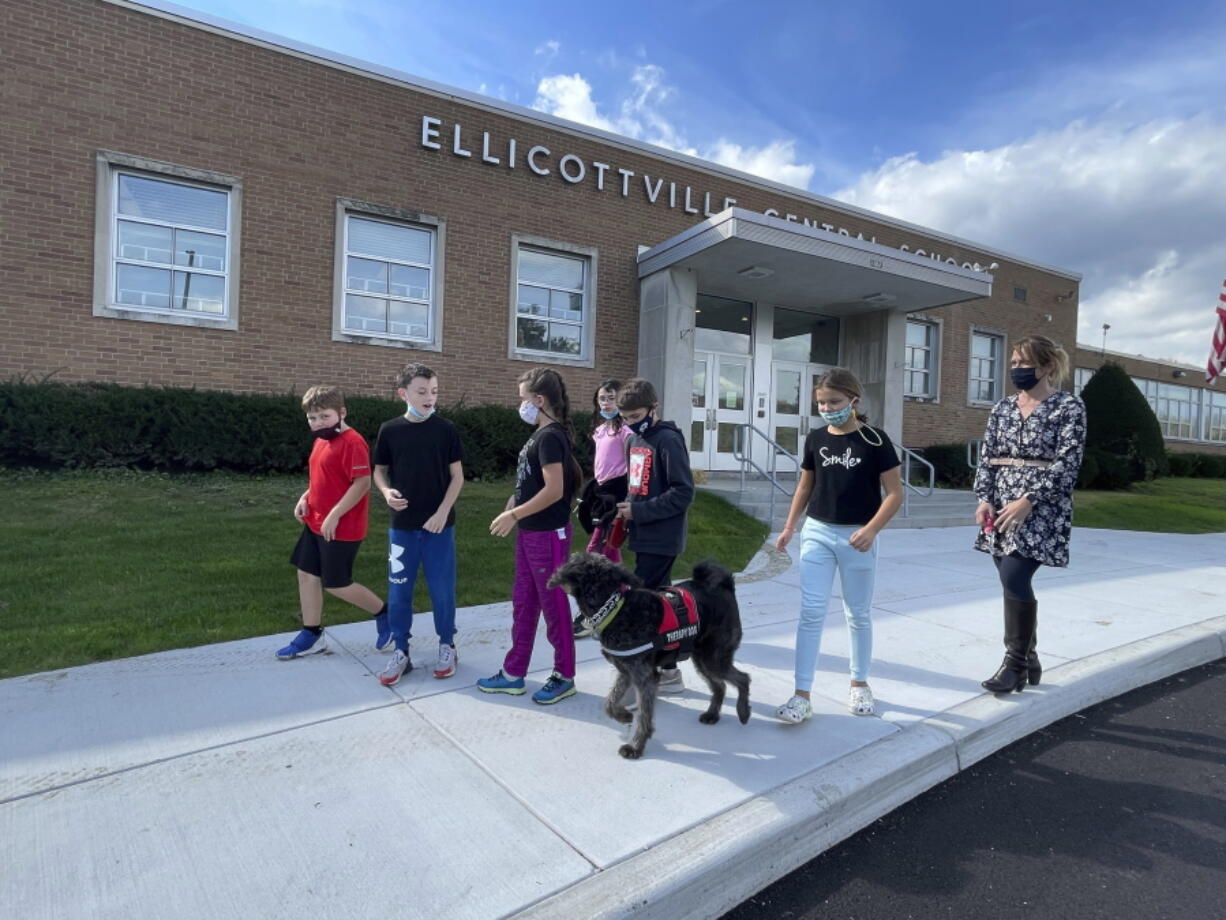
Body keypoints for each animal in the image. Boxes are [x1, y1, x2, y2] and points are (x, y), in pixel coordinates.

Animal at [551, 552, 750, 760]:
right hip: (702, 659)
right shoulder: (626, 671)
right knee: (720, 686)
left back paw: (743, 712)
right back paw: (712, 715)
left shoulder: (645, 677)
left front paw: (635, 747)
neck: (615, 610)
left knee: (743, 678)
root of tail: (725, 586)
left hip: (714, 657)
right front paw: (623, 716)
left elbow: (644, 716)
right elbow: (609, 702)